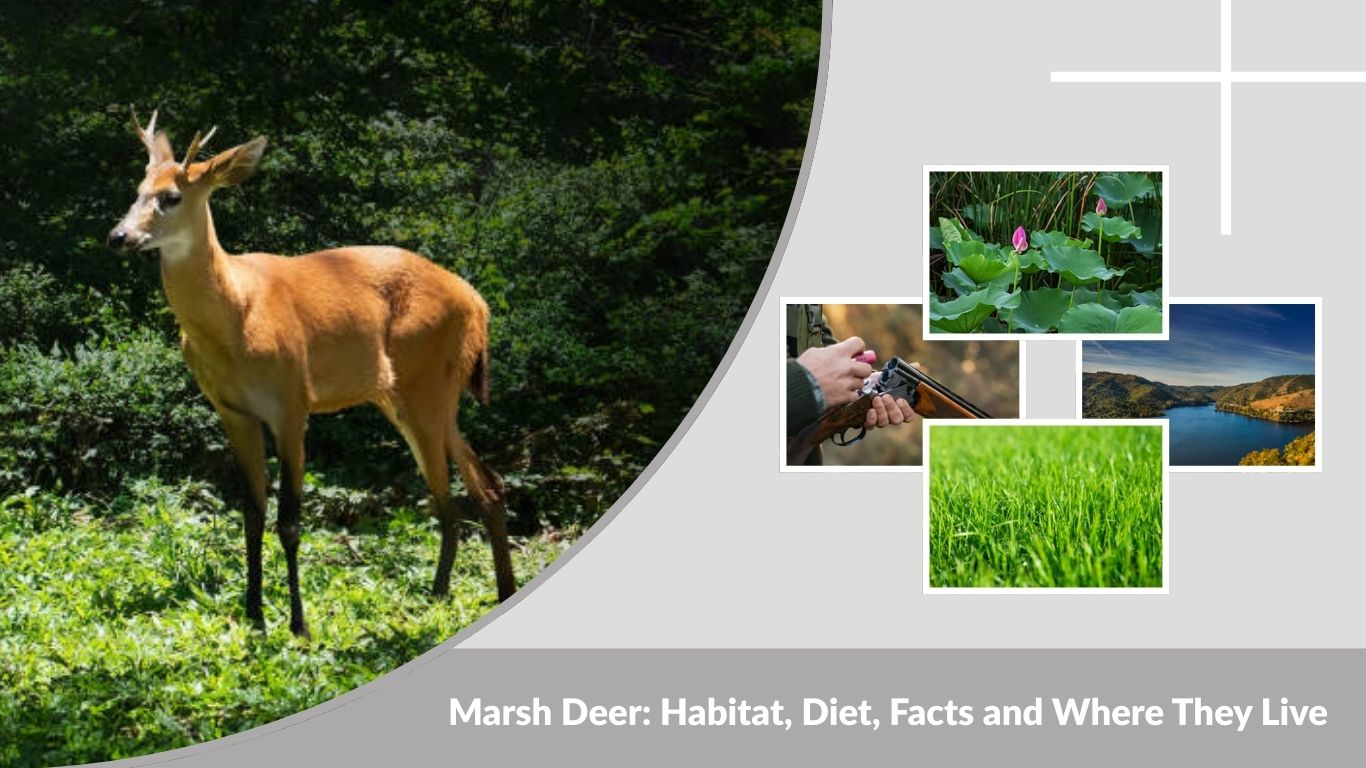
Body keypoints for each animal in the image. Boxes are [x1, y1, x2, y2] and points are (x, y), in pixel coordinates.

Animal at [108, 110, 516, 637]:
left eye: (171, 196)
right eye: (137, 189)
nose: (118, 237)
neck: (234, 318)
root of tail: (479, 303)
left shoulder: (291, 403)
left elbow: (289, 521)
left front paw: (298, 625)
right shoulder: (232, 411)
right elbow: (252, 513)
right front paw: (255, 615)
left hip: (430, 383)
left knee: (464, 487)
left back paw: (477, 593)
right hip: (407, 396)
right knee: (467, 488)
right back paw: (453, 593)